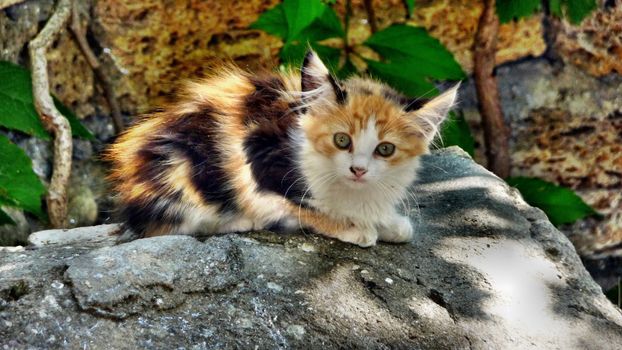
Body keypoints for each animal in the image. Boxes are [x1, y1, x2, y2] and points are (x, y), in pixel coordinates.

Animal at [106, 50, 458, 246]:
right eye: (341, 140)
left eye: (385, 149)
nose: (358, 170)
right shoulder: (257, 165)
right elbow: (306, 209)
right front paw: (357, 228)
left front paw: (390, 222)